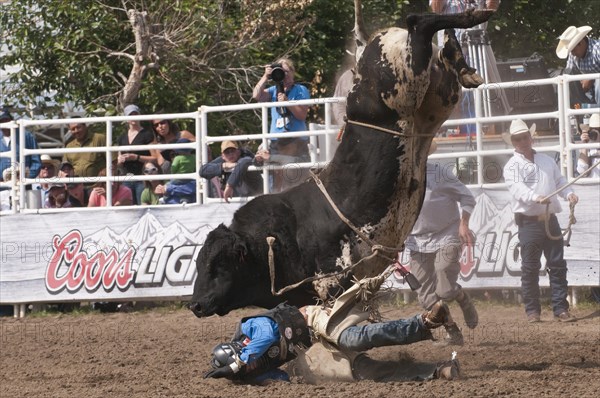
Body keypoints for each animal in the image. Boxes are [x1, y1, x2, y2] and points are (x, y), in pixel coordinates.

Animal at [190, 3, 494, 318]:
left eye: (219, 264)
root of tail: (365, 47)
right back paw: (462, 60)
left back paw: (474, 18)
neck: (272, 241)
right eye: (199, 263)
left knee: (417, 22)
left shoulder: (333, 282)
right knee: (439, 53)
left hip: (403, 77)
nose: (195, 304)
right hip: (440, 95)